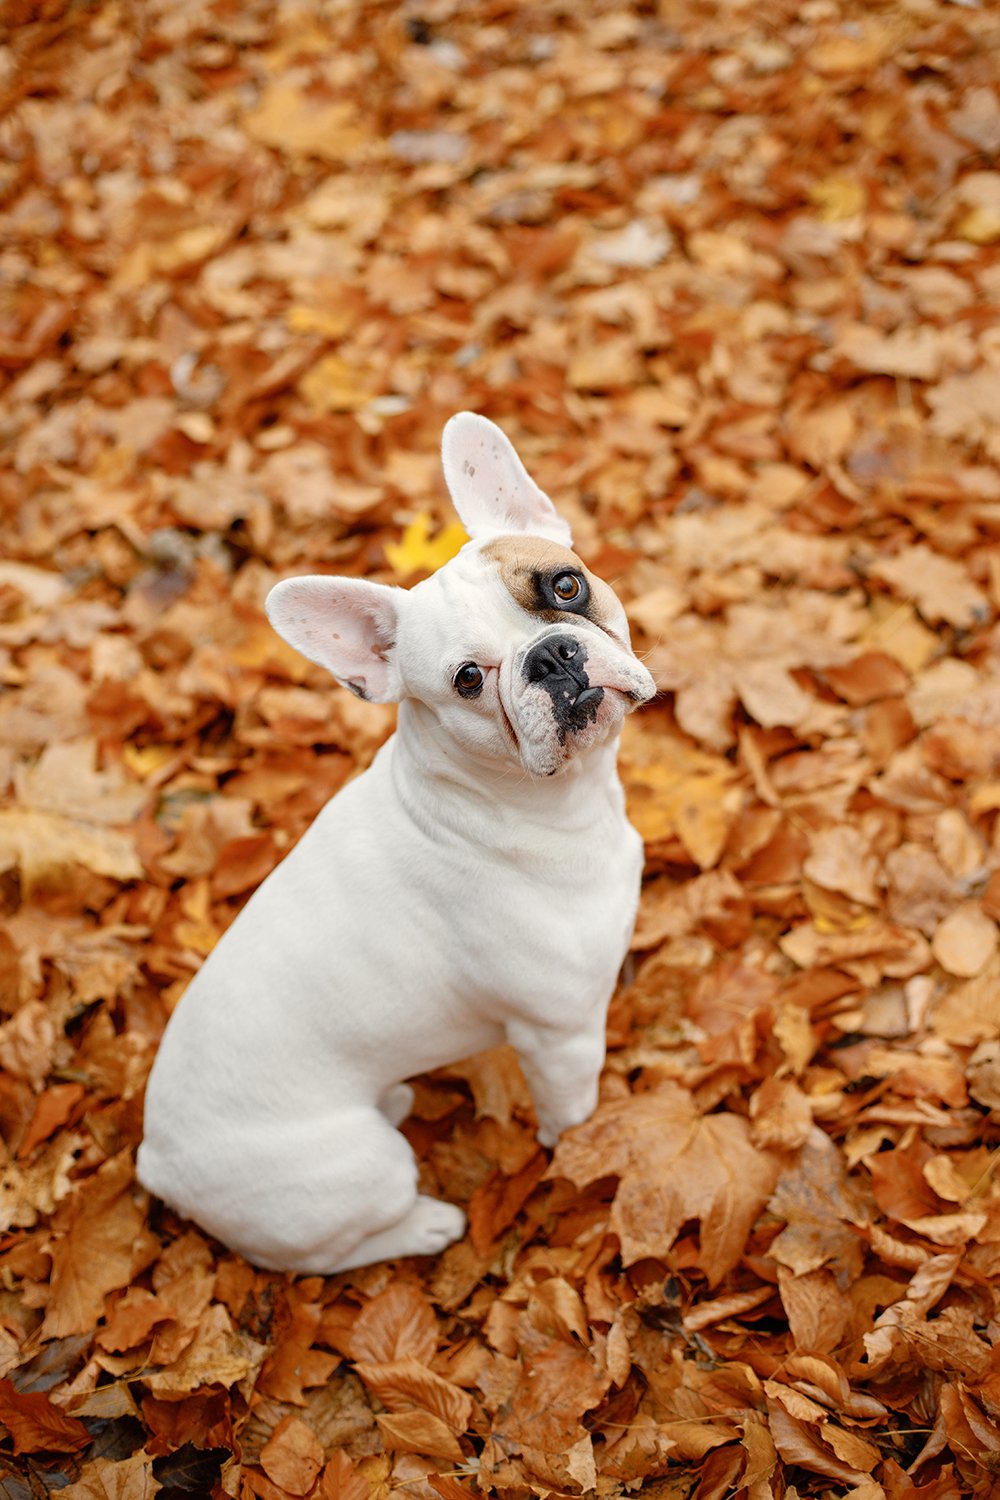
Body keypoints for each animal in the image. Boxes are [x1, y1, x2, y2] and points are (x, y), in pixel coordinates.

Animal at [140, 411, 656, 1266]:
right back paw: (428, 1224)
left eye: (566, 586)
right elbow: (571, 1115)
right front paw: (583, 1151)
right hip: (362, 1172)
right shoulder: (562, 1037)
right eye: (468, 681)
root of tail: (156, 1166)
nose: (551, 656)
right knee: (327, 1255)